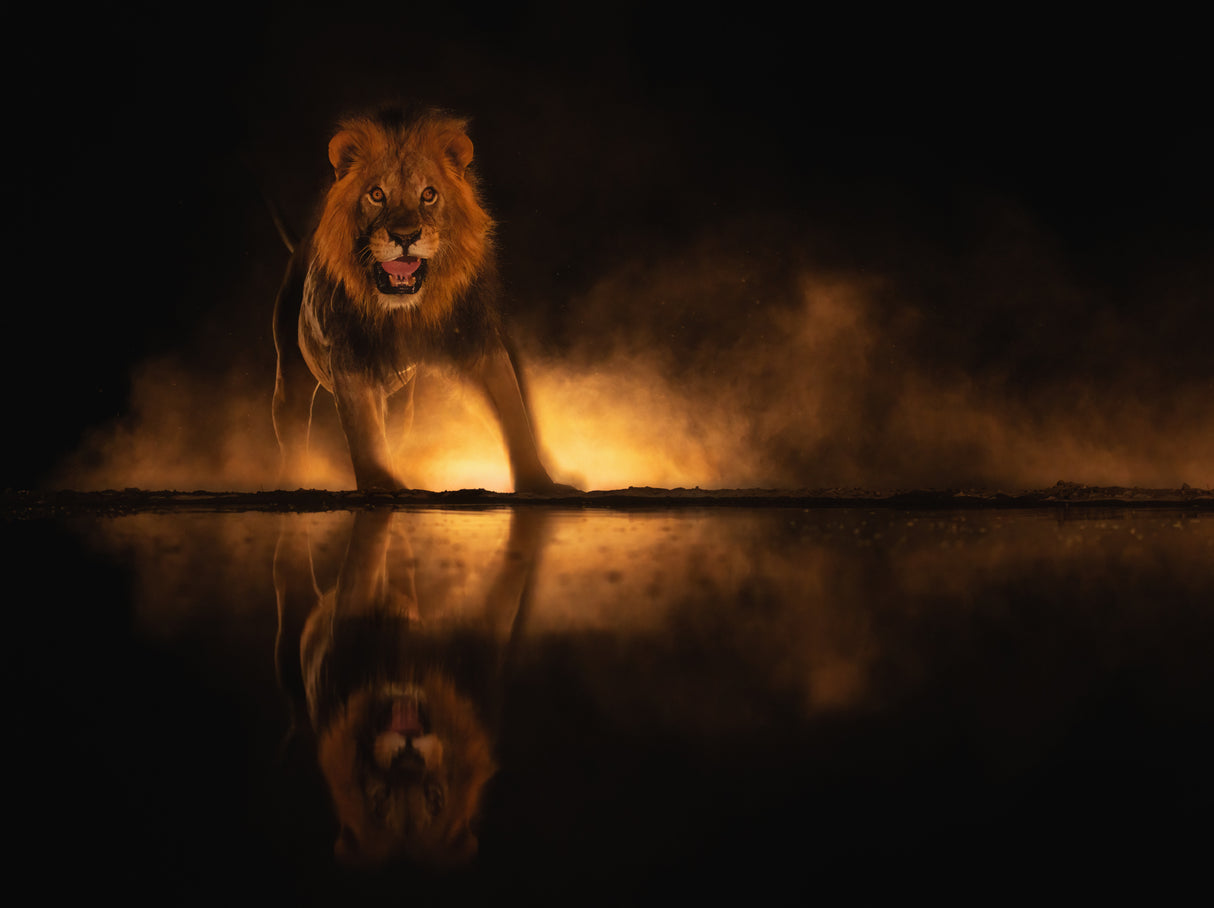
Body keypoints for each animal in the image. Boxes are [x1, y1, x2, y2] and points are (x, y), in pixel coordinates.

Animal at [272, 104, 565, 493]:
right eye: (376, 194)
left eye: (428, 194)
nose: (405, 236)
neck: (404, 312)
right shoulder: (351, 359)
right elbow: (365, 435)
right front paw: (383, 487)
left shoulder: (477, 343)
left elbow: (513, 412)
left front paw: (540, 482)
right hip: (290, 376)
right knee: (292, 433)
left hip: (401, 404)